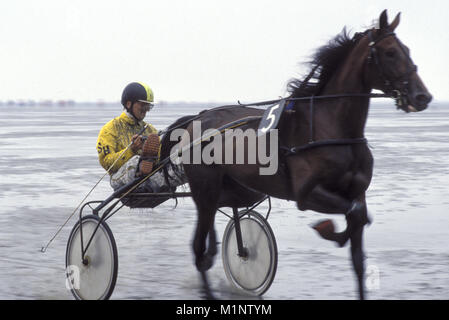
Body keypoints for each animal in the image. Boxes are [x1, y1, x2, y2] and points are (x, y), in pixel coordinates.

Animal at [160, 10, 430, 300]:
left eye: (407, 50)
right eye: (390, 52)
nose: (423, 96)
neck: (331, 126)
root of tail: (196, 119)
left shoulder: (357, 192)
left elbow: (359, 250)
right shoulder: (306, 194)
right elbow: (355, 215)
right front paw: (328, 230)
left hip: (236, 188)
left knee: (214, 221)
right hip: (205, 187)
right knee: (197, 247)